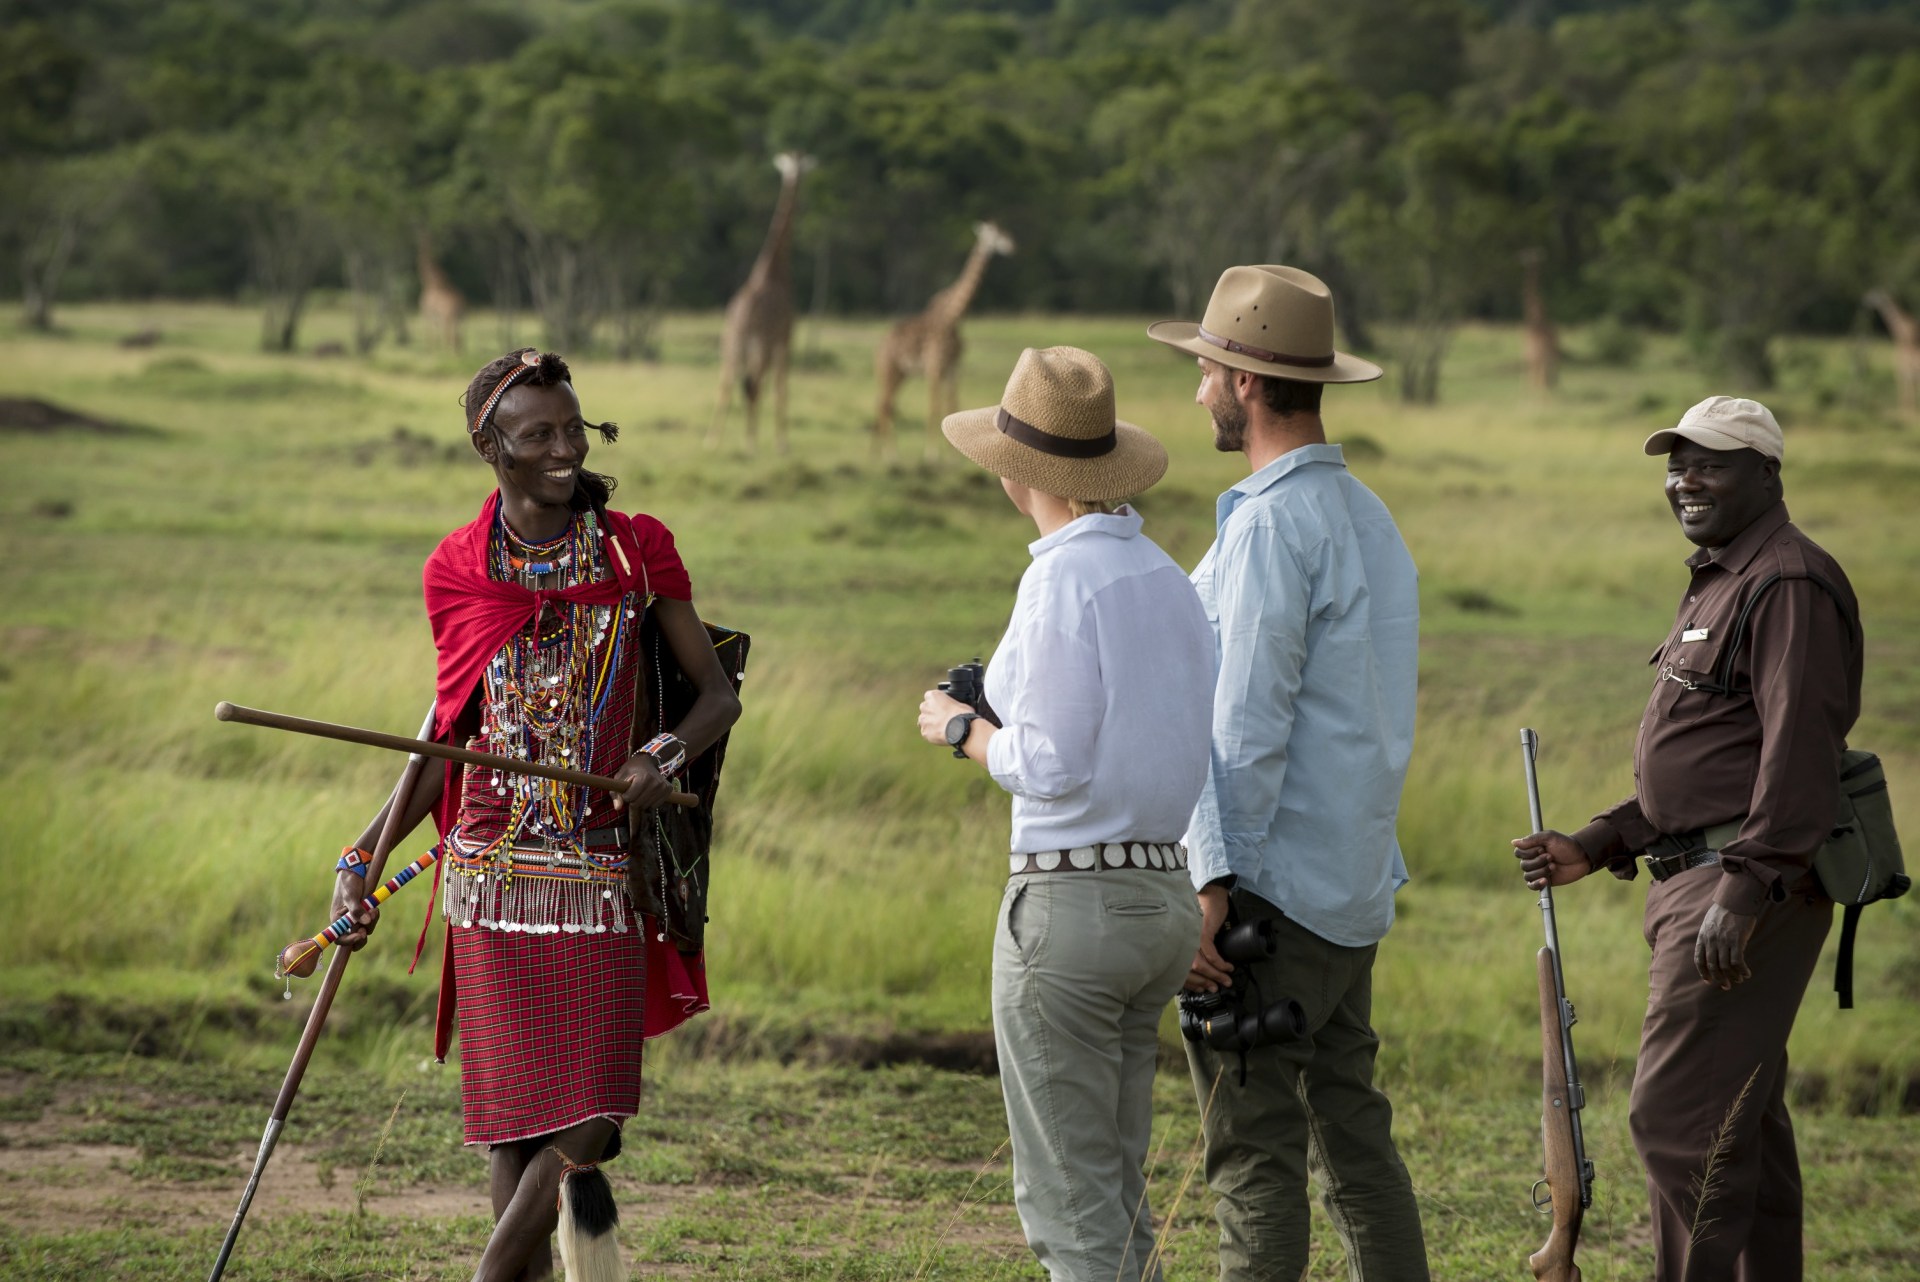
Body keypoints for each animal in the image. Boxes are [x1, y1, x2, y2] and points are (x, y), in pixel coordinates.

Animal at [714, 153, 817, 452]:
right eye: (795, 167)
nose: (795, 175)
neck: (774, 272)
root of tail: (742, 320)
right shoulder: (785, 338)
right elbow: (782, 388)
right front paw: (782, 443)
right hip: (759, 346)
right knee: (755, 386)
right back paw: (750, 444)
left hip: (731, 345)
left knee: (726, 385)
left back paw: (712, 441)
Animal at [875, 221, 1013, 460]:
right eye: (993, 235)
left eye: (1004, 231)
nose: (1012, 246)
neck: (954, 316)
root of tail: (880, 347)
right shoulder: (935, 366)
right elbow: (934, 408)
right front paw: (931, 455)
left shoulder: (953, 367)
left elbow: (952, 406)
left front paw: (953, 457)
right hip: (890, 369)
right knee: (886, 405)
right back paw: (891, 455)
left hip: (901, 373)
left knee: (887, 404)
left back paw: (880, 453)